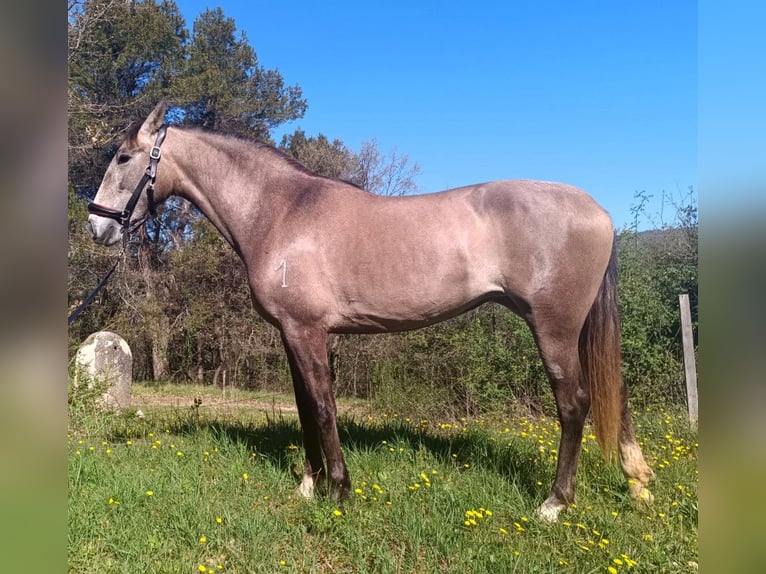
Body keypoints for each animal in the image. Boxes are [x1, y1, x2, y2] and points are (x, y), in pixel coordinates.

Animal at [86, 102, 654, 521]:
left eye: (123, 157)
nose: (97, 225)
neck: (281, 211)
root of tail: (598, 210)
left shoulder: (308, 331)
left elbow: (323, 406)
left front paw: (339, 489)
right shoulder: (293, 334)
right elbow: (303, 407)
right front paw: (308, 486)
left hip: (554, 329)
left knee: (575, 404)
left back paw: (555, 504)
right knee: (616, 394)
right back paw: (638, 483)